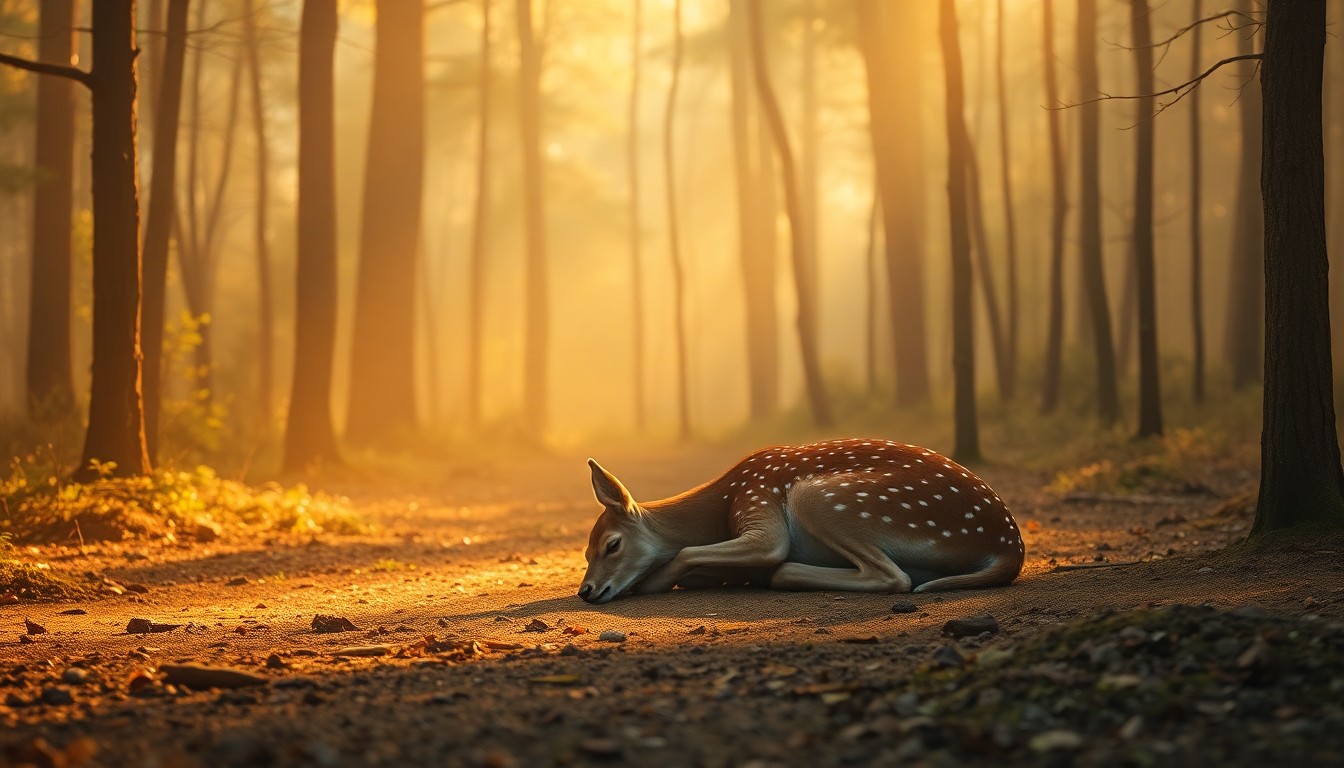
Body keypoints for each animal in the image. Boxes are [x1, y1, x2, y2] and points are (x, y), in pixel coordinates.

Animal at [578, 438, 1024, 604]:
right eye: (584, 552)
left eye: (612, 544)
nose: (586, 590)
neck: (720, 508)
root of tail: (1009, 546)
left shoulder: (758, 500)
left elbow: (694, 551)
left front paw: (652, 581)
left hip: (825, 498)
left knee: (893, 577)